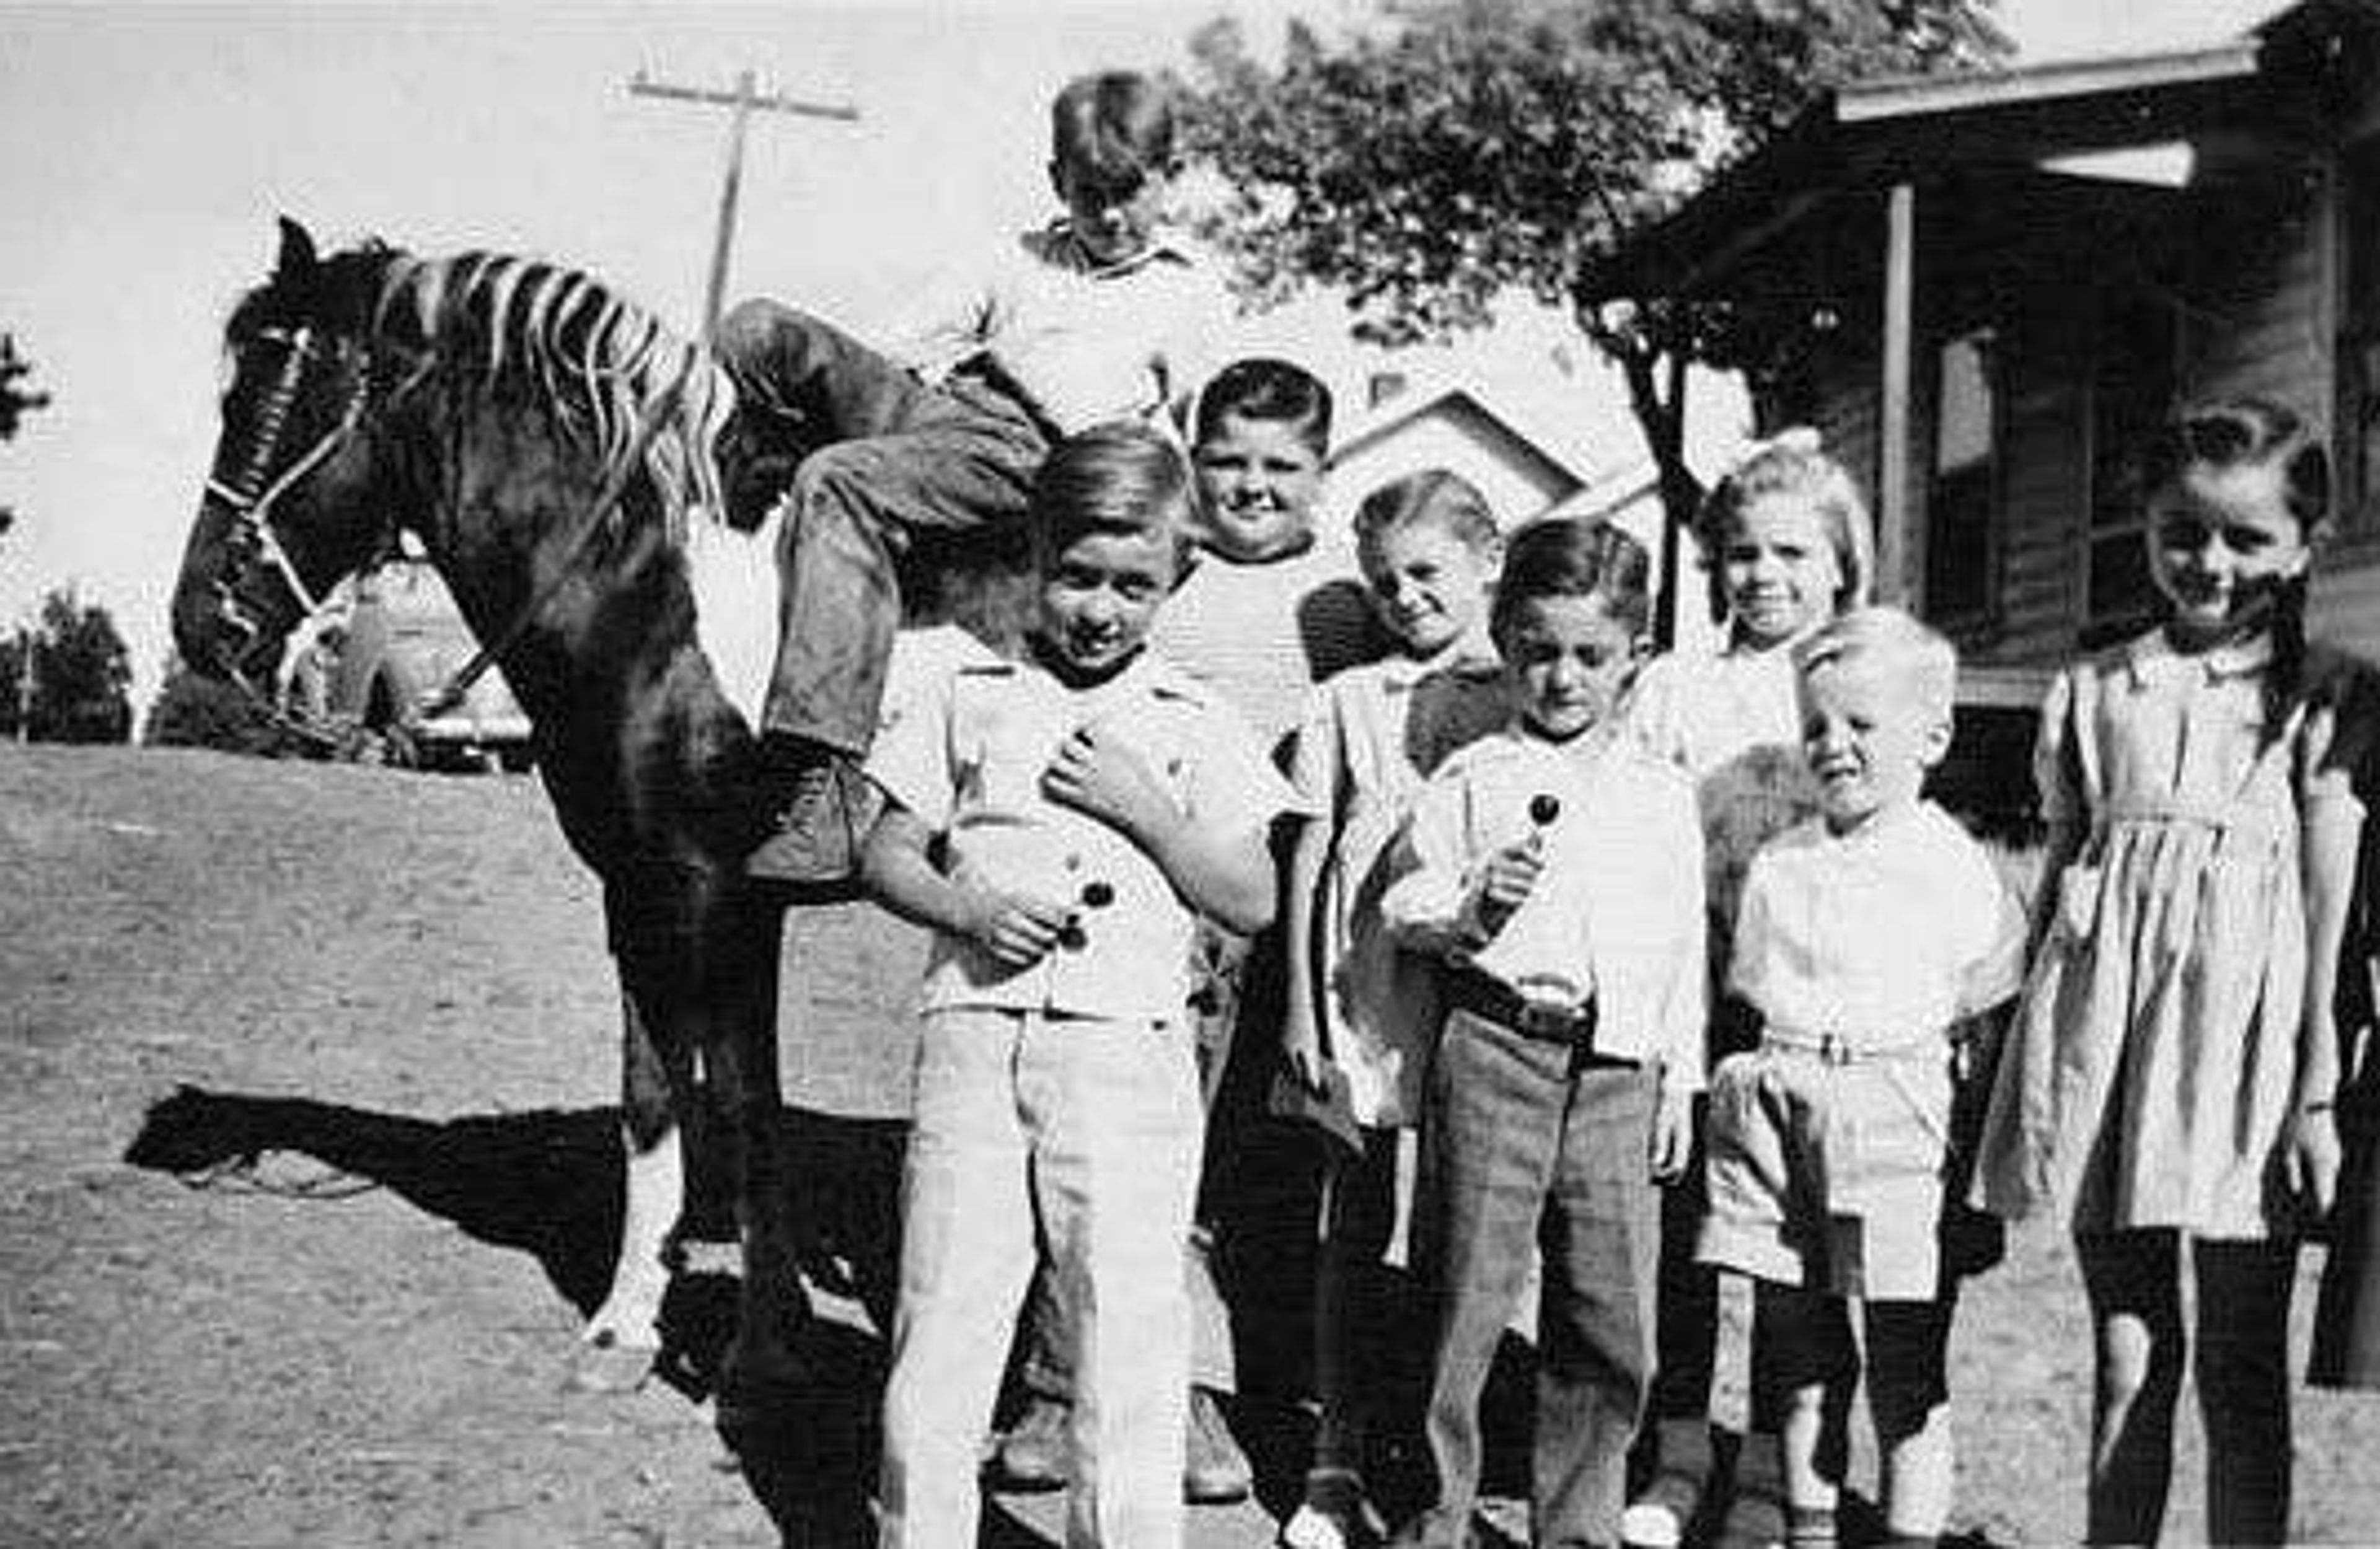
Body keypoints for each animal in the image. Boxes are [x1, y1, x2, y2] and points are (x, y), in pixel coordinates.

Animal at [167, 221, 804, 1428]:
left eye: (275, 402)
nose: (201, 621)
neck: (656, 601)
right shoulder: (660, 890)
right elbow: (669, 1097)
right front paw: (635, 1333)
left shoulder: (704, 890)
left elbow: (736, 1112)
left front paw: (734, 1355)